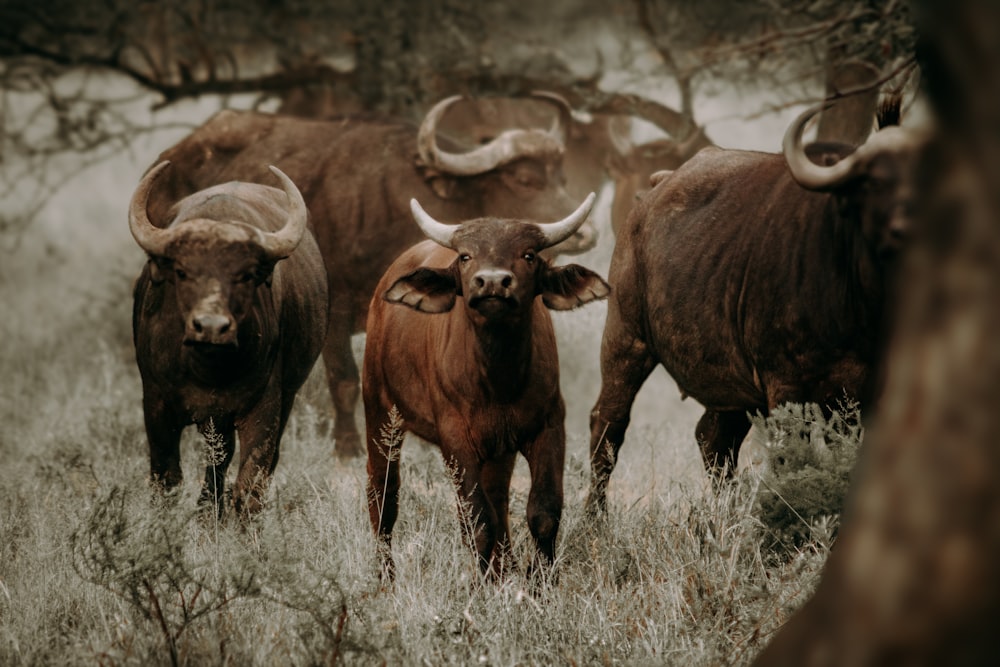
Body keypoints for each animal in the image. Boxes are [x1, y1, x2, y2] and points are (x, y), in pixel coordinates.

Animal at [129, 164, 328, 520]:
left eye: (245, 275)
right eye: (182, 271)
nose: (211, 326)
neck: (208, 369)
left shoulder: (264, 409)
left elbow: (250, 483)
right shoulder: (156, 404)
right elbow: (166, 478)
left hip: (286, 397)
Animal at [149, 92, 596, 460]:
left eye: (562, 177)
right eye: (524, 180)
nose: (587, 234)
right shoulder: (335, 315)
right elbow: (344, 380)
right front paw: (348, 449)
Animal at [362, 192, 608, 580]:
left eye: (528, 254)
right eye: (466, 256)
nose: (492, 283)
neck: (498, 380)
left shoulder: (549, 425)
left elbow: (543, 511)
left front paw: (538, 580)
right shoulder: (456, 439)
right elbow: (477, 520)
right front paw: (481, 585)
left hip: (498, 449)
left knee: (499, 496)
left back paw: (504, 568)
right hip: (380, 413)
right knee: (383, 492)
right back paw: (386, 576)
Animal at [584, 99, 920, 516]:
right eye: (873, 182)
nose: (907, 229)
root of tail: (650, 195)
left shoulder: (860, 401)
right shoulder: (786, 390)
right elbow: (791, 463)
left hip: (728, 381)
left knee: (713, 437)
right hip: (626, 338)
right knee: (608, 425)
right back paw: (594, 516)